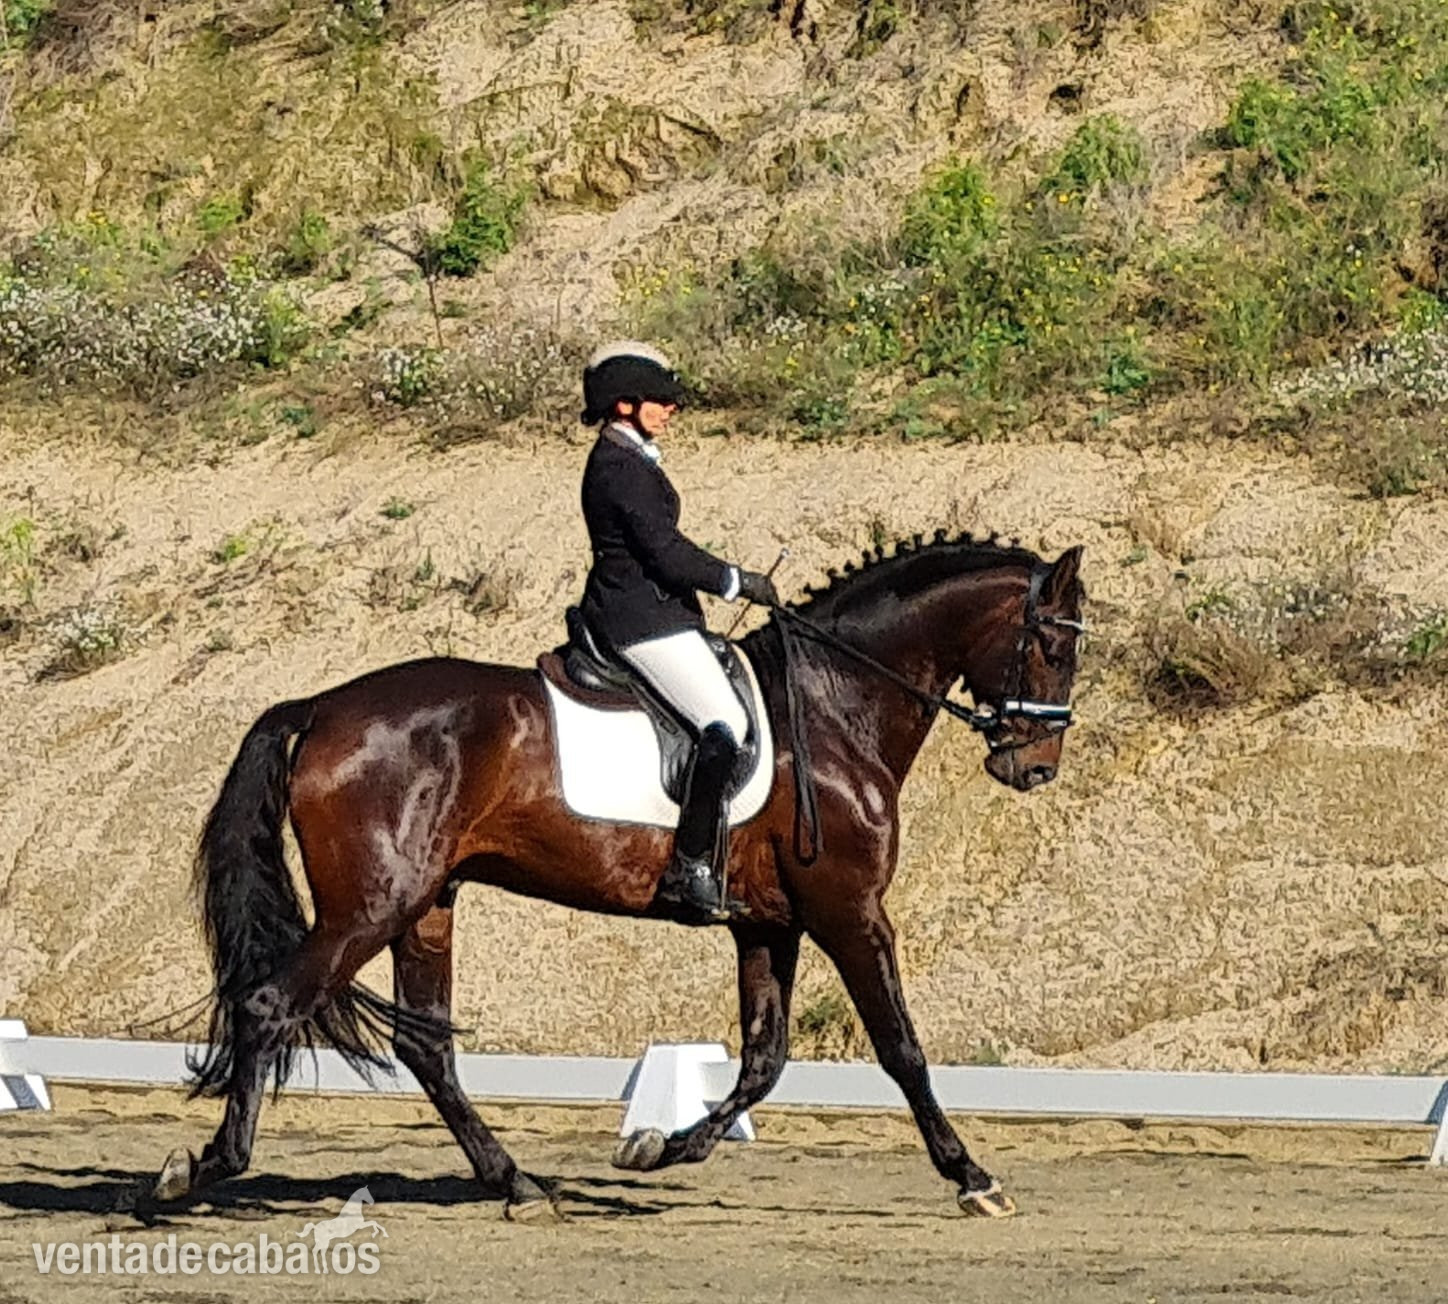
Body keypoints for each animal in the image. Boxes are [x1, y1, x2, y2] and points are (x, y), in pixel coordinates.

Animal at [145, 530, 1085, 1222]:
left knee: (426, 1045)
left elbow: (763, 1059)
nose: (1034, 768)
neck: (834, 704)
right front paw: (972, 1177)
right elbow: (900, 1046)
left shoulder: (768, 922)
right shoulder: (851, 910)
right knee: (272, 1006)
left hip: (427, 904)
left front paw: (658, 1148)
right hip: (370, 907)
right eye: (1052, 647)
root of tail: (319, 707)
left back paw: (518, 1184)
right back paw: (202, 1168)